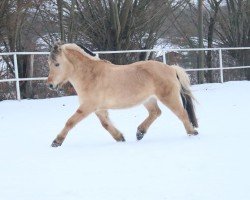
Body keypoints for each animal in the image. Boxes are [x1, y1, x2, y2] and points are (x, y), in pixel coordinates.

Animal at [47, 42, 198, 147]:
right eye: (49, 63)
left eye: (57, 64)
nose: (50, 85)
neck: (91, 75)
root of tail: (171, 68)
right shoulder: (99, 109)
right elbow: (106, 124)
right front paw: (120, 137)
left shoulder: (88, 107)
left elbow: (70, 121)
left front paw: (56, 142)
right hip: (148, 99)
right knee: (156, 112)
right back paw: (140, 133)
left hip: (168, 97)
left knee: (182, 114)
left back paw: (192, 133)